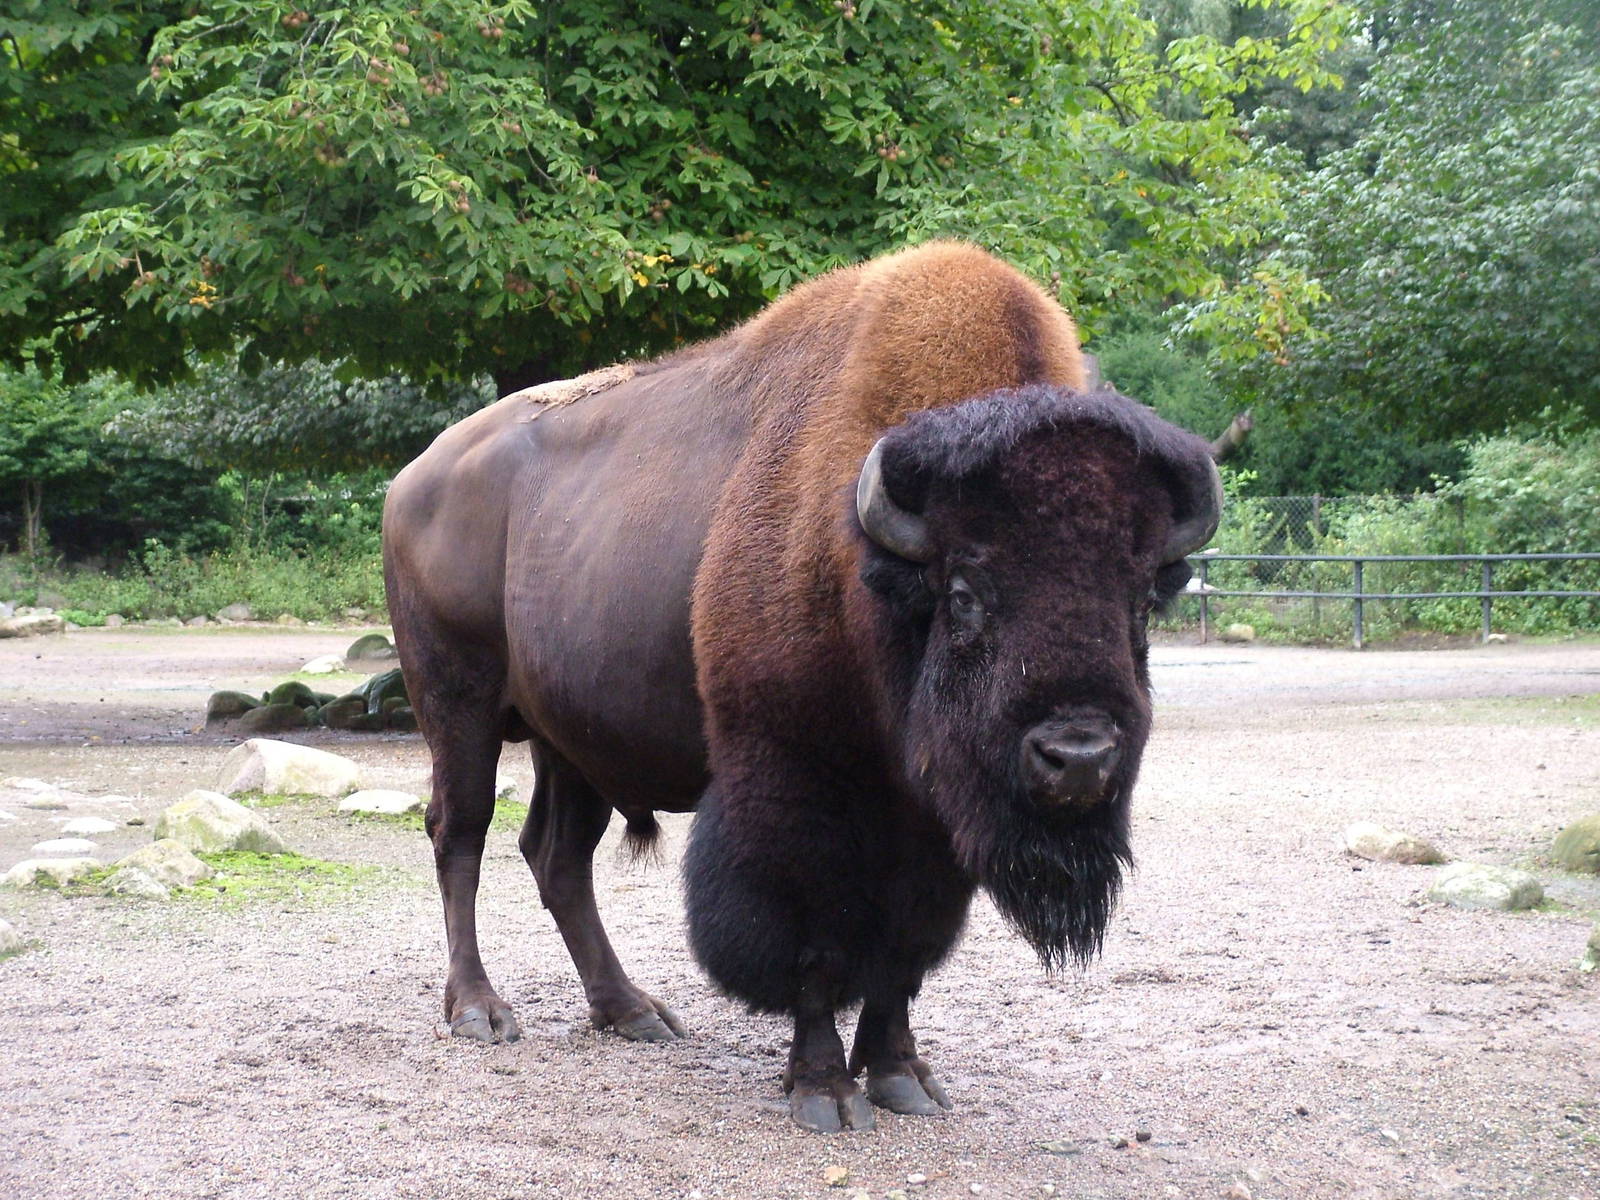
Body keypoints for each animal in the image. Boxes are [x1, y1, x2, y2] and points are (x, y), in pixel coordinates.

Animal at [382, 241, 1221, 1132]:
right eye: (964, 594)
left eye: (1142, 599)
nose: (1079, 757)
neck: (871, 570)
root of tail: (413, 479)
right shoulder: (796, 785)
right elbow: (812, 943)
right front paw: (824, 1091)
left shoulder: (928, 821)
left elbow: (903, 950)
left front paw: (901, 1077)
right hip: (458, 706)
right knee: (460, 834)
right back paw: (480, 1010)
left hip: (570, 742)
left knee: (557, 857)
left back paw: (632, 1012)